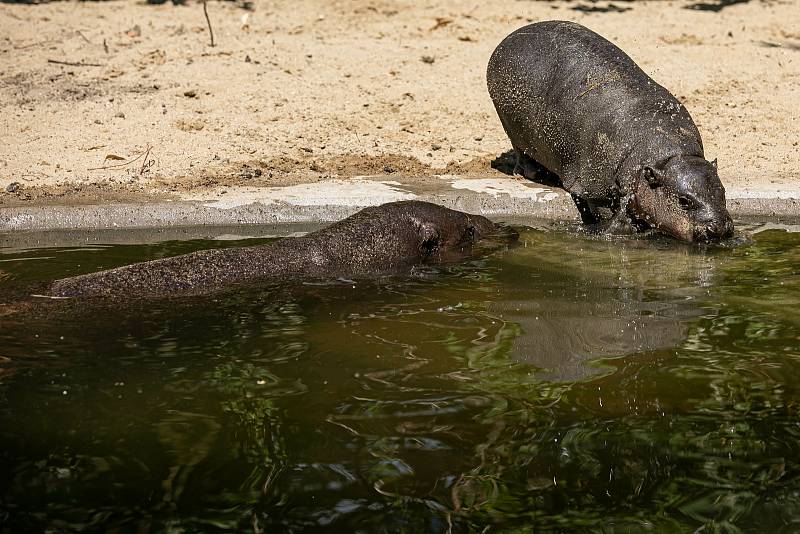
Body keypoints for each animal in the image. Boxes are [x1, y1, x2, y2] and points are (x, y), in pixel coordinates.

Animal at [484, 20, 736, 243]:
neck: (665, 157)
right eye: (684, 201)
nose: (719, 228)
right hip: (511, 126)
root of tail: (510, 37)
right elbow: (603, 212)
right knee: (521, 152)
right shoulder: (594, 187)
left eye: (723, 191)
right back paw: (535, 174)